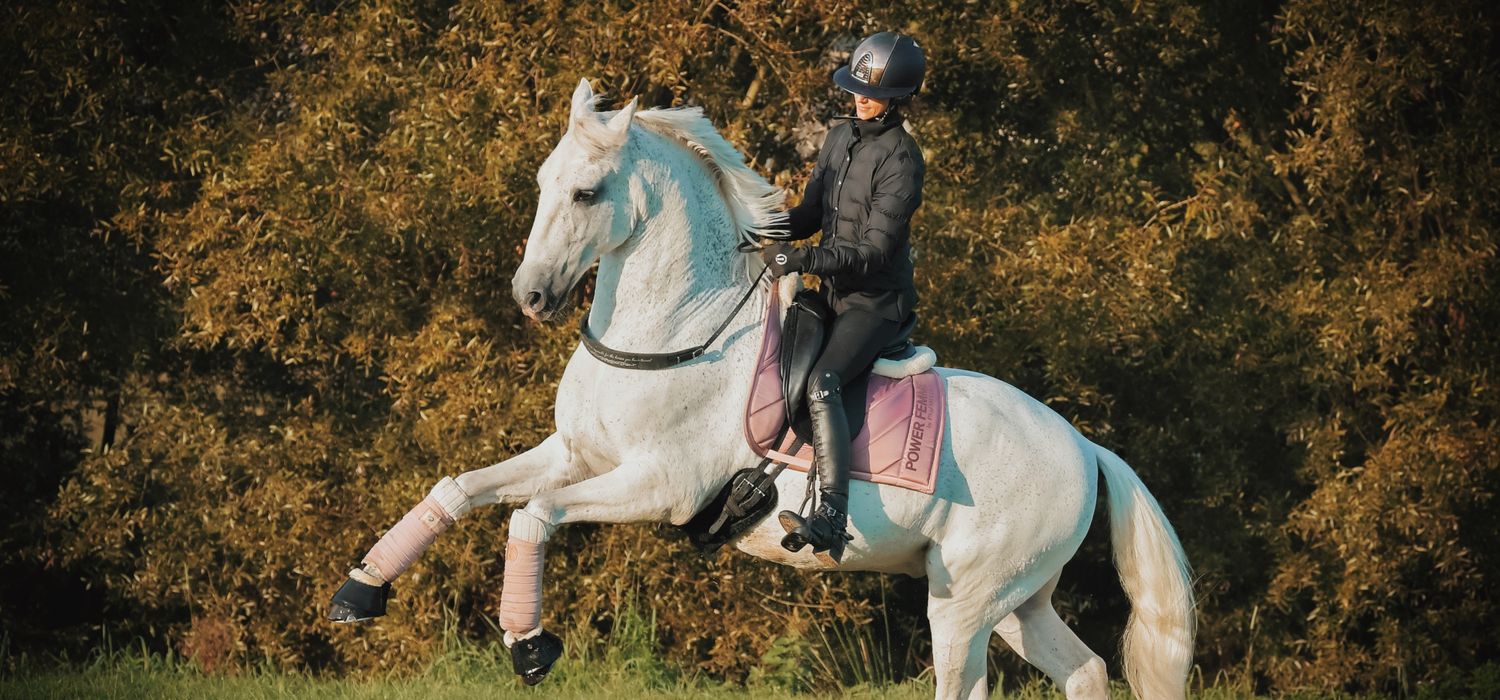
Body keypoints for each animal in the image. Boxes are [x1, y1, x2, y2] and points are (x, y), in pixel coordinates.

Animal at [328, 77, 1194, 700]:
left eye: (585, 193)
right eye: (544, 181)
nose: (531, 296)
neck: (674, 333)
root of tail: (1083, 446)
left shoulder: (657, 485)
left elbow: (532, 517)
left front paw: (530, 646)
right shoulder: (576, 454)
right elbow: (461, 489)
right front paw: (359, 593)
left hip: (967, 602)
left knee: (971, 685)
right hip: (1017, 601)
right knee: (1085, 670)